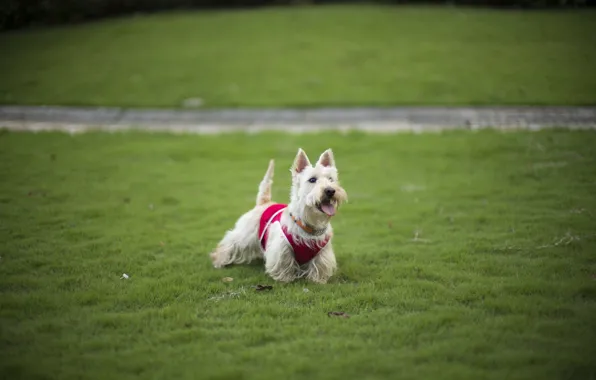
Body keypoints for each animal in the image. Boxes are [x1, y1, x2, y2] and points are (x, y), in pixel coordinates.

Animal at [211, 148, 346, 282]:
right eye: (312, 179)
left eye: (331, 179)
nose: (330, 190)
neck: (308, 222)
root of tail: (264, 202)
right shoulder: (281, 248)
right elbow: (284, 264)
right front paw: (285, 279)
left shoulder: (322, 252)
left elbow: (318, 265)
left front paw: (317, 280)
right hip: (245, 235)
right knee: (228, 243)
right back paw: (219, 260)